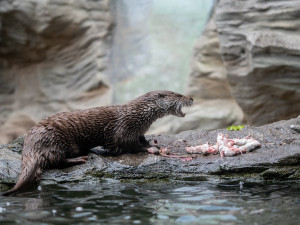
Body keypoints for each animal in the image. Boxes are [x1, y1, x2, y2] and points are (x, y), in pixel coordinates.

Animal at [2, 90, 193, 196]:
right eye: (178, 94)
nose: (191, 98)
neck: (139, 115)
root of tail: (30, 144)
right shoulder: (125, 129)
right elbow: (128, 145)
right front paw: (150, 147)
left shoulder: (137, 131)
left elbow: (140, 139)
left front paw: (153, 143)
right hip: (56, 139)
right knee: (56, 160)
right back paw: (81, 158)